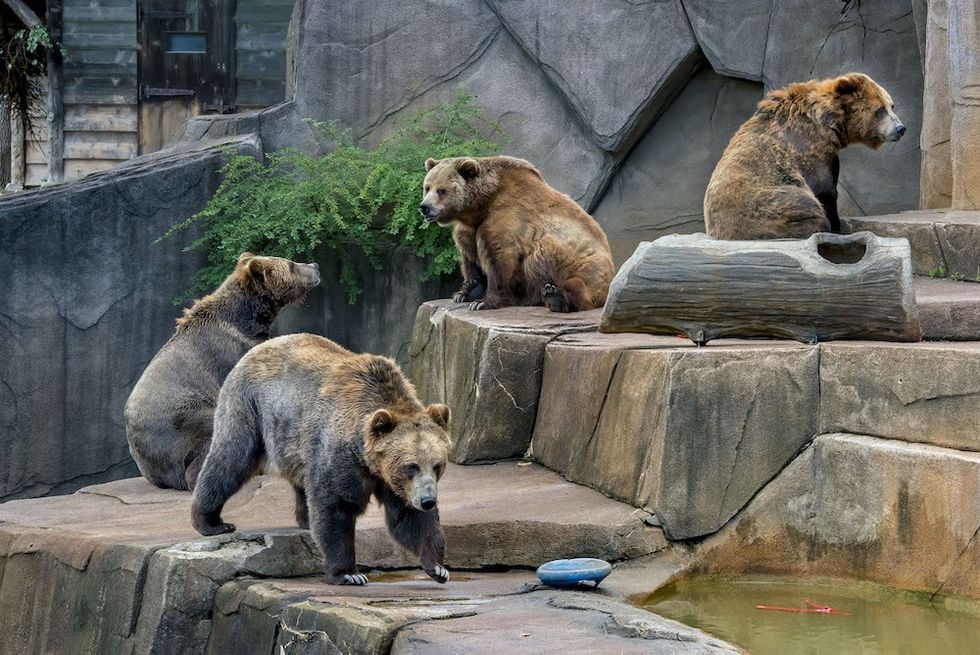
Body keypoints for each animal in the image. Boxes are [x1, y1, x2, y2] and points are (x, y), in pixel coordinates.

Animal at [190, 333, 453, 586]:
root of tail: (258, 347)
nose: (428, 500)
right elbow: (335, 506)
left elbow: (409, 518)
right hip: (249, 407)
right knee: (230, 459)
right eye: (411, 466)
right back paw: (211, 521)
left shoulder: (392, 481)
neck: (369, 460)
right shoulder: (342, 455)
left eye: (437, 465)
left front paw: (438, 567)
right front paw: (348, 574)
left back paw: (305, 518)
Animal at [418, 156, 615, 312]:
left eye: (441, 190)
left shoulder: (508, 216)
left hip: (586, 264)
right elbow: (469, 255)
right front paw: (467, 289)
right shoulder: (469, 229)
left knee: (579, 283)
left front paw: (483, 302)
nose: (424, 207)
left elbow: (500, 256)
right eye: (427, 187)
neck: (480, 205)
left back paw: (556, 298)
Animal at [704, 72, 906, 240]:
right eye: (880, 110)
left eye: (892, 106)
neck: (829, 124)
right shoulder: (808, 150)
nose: (900, 128)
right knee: (804, 205)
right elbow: (826, 191)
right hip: (766, 201)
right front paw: (836, 225)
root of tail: (716, 231)